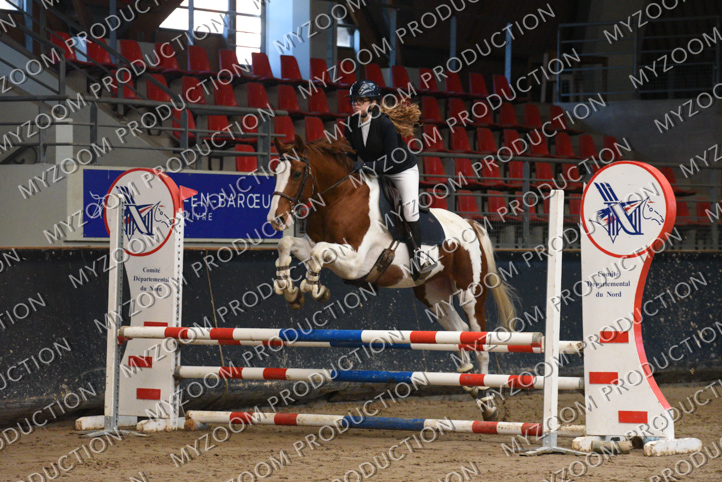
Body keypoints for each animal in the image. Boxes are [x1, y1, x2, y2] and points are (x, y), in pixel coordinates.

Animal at [266, 135, 518, 419]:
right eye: (276, 172)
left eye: (297, 173)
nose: (276, 219)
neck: (338, 198)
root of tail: (470, 225)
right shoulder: (312, 245)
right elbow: (287, 244)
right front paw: (288, 289)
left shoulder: (355, 262)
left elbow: (319, 253)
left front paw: (314, 287)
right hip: (434, 296)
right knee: (460, 331)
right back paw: (468, 381)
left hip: (471, 294)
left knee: (479, 340)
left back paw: (487, 403)